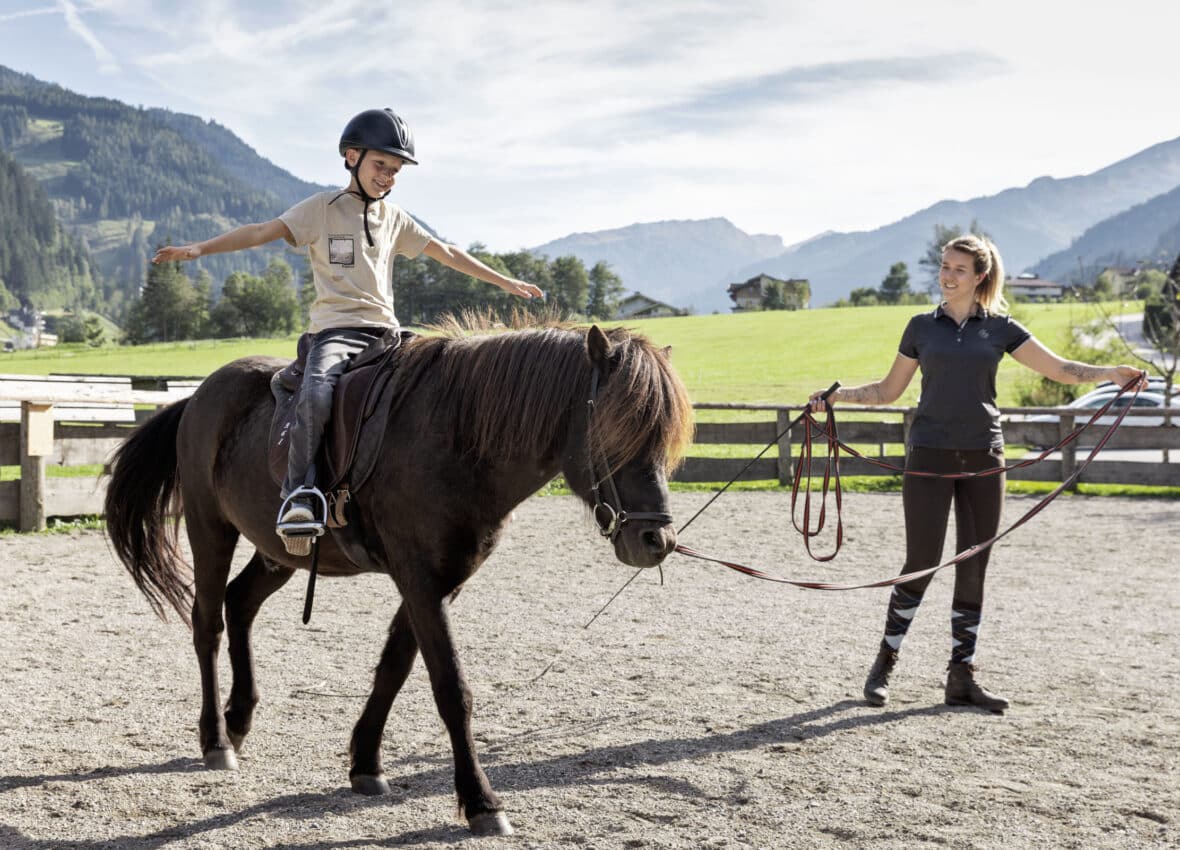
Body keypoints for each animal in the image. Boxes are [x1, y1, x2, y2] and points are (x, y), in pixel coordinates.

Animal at [103, 321, 689, 831]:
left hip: (279, 552)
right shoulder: (421, 579)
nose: (655, 541)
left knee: (239, 603)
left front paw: (365, 763)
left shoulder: (437, 581)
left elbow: (394, 668)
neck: (454, 436)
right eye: (616, 426)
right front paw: (481, 801)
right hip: (210, 528)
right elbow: (451, 689)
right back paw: (216, 740)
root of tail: (200, 395)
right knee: (208, 622)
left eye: (664, 438)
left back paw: (239, 718)